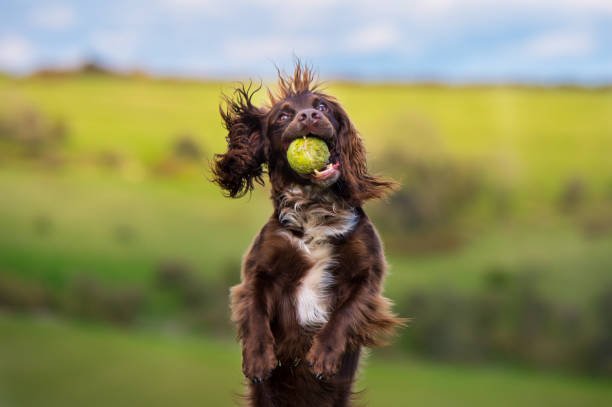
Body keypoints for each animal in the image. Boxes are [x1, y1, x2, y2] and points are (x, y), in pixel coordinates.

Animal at [213, 62, 404, 406]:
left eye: (322, 107)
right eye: (283, 116)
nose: (309, 116)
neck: (315, 209)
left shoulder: (369, 274)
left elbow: (346, 312)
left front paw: (324, 355)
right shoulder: (259, 268)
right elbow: (255, 308)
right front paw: (258, 358)